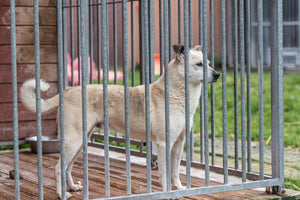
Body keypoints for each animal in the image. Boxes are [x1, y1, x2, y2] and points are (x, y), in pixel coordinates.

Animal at [19, 44, 219, 199]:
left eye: (209, 64)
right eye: (199, 64)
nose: (217, 74)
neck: (176, 95)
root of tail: (66, 91)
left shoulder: (178, 143)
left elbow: (176, 171)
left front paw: (179, 189)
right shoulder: (164, 144)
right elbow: (164, 172)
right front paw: (166, 192)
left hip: (80, 142)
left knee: (67, 167)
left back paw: (73, 187)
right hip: (73, 141)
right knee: (58, 168)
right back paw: (62, 194)